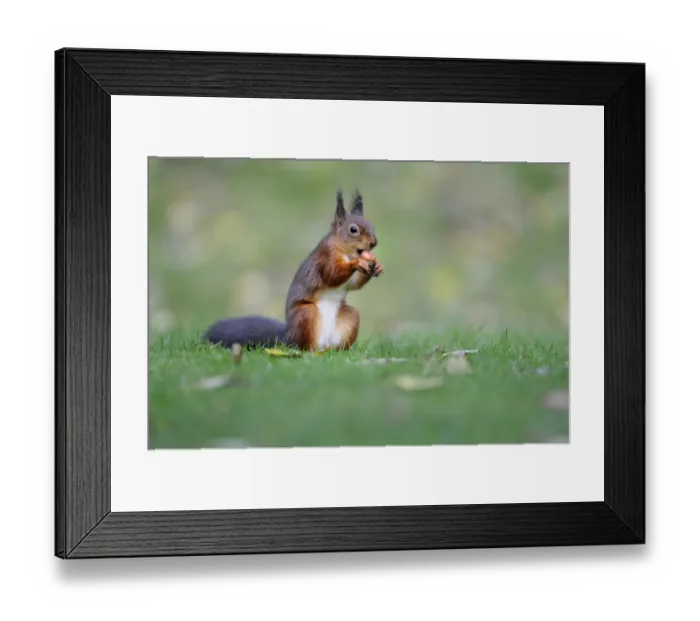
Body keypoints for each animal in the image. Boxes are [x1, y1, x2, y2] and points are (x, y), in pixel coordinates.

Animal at [203, 189, 383, 352]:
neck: (345, 251)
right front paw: (358, 262)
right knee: (303, 347)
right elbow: (332, 274)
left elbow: (353, 284)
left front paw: (377, 266)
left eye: (373, 226)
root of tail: (288, 338)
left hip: (350, 317)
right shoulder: (326, 256)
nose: (374, 242)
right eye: (353, 230)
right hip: (306, 314)